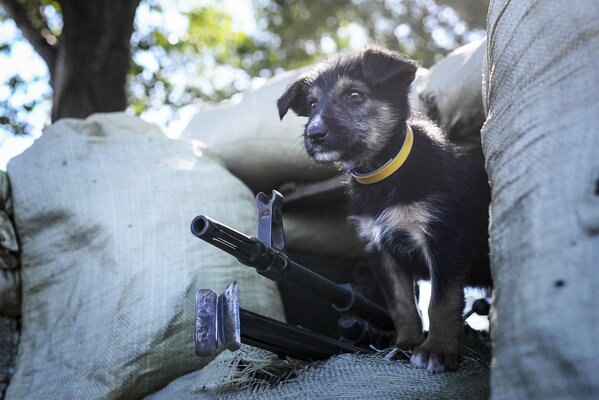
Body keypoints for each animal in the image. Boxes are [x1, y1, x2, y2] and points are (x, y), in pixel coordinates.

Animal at [278, 45, 492, 374]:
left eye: (355, 95)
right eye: (312, 104)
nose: (314, 134)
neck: (382, 174)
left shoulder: (444, 240)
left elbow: (441, 302)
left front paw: (437, 350)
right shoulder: (382, 250)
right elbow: (401, 305)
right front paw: (405, 344)